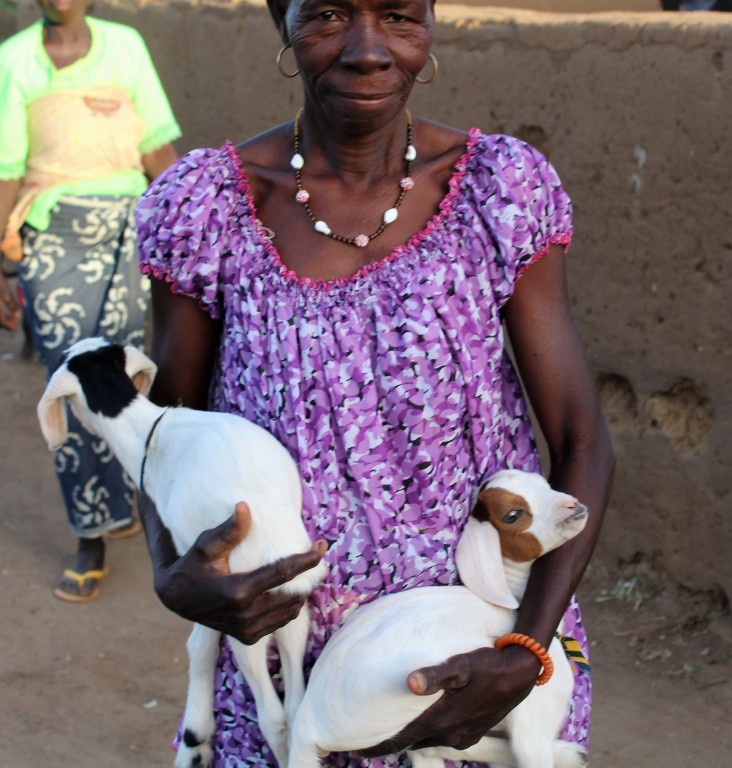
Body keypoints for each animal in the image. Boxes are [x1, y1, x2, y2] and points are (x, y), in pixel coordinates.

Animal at [35, 340, 328, 768]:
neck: (149, 433)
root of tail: (273, 535)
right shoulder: (219, 586)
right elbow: (201, 639)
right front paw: (197, 733)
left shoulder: (204, 569)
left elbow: (199, 639)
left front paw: (196, 736)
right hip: (292, 604)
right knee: (294, 704)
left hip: (252, 625)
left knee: (273, 716)